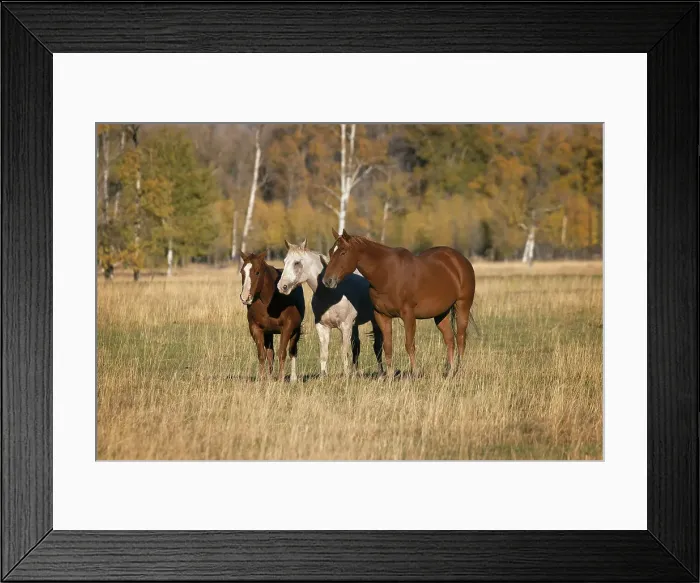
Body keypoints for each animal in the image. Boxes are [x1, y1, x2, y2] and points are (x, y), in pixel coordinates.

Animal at [239, 251, 305, 381]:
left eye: (257, 272)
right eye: (242, 272)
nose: (245, 297)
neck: (271, 300)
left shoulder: (287, 328)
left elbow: (282, 353)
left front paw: (281, 378)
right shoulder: (256, 329)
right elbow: (262, 354)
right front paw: (262, 379)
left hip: (296, 330)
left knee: (293, 350)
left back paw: (293, 378)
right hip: (269, 333)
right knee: (270, 353)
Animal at [277, 239, 383, 376]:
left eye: (297, 263)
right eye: (284, 262)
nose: (282, 286)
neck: (331, 294)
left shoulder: (345, 326)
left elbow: (344, 353)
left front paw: (347, 376)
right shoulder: (322, 326)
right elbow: (324, 354)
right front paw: (324, 376)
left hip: (374, 320)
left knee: (377, 346)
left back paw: (380, 374)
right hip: (354, 325)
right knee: (356, 346)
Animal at [322, 229, 475, 376]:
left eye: (343, 252)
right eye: (330, 252)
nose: (327, 281)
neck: (386, 275)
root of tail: (460, 260)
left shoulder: (408, 315)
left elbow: (409, 345)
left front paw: (415, 373)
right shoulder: (382, 316)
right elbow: (387, 347)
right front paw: (389, 377)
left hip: (462, 306)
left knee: (461, 339)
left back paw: (460, 371)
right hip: (441, 314)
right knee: (449, 340)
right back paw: (450, 373)